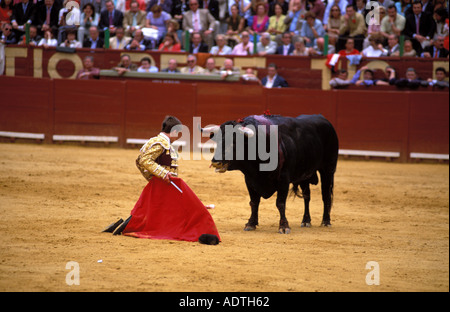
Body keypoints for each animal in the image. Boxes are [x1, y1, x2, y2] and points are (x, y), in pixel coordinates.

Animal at [202, 113, 340, 233]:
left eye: (235, 142)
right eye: (217, 141)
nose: (216, 162)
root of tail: (324, 119)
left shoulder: (283, 180)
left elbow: (280, 203)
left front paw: (284, 227)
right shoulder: (250, 180)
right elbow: (254, 202)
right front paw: (251, 223)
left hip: (328, 169)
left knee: (325, 195)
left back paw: (326, 221)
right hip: (304, 175)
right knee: (307, 196)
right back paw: (306, 221)